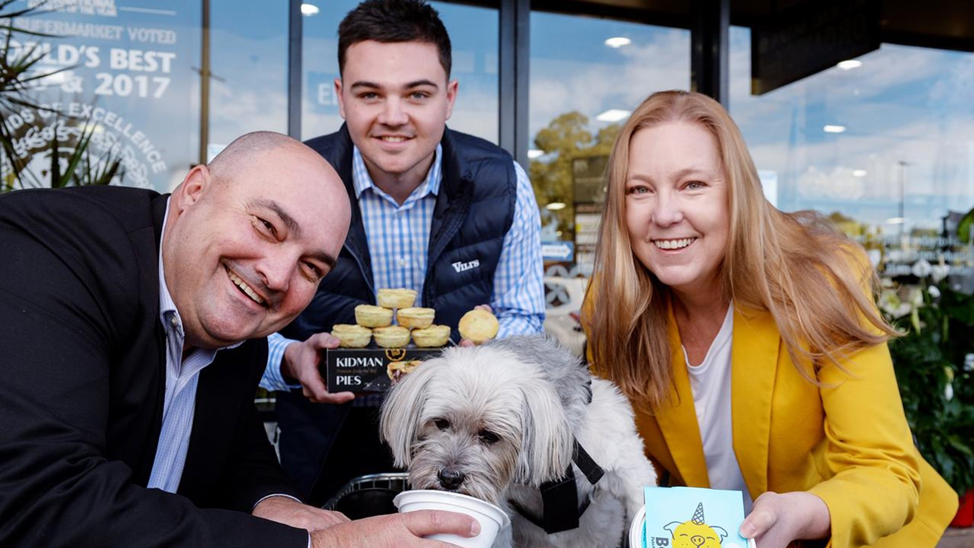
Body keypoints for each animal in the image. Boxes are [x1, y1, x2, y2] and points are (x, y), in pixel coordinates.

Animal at [382, 336, 656, 544]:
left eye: (490, 436)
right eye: (440, 423)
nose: (449, 478)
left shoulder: (623, 464)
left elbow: (639, 496)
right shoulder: (500, 509)